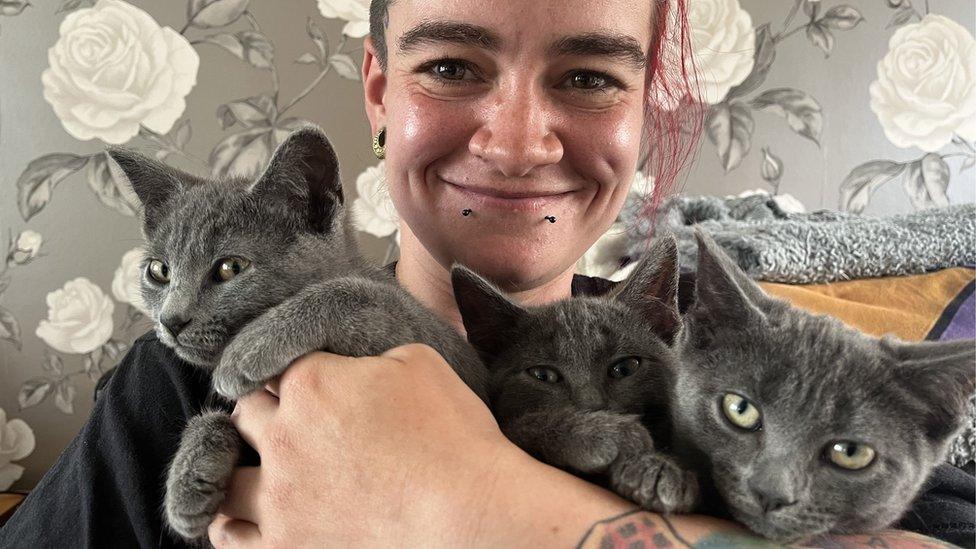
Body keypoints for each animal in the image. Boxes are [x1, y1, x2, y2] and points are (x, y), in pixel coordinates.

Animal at [109, 125, 488, 540]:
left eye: (230, 267)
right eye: (159, 271)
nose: (171, 320)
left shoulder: (461, 361)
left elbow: (360, 293)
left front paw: (249, 349)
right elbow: (219, 417)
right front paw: (188, 479)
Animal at [454, 238, 696, 512]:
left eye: (625, 368)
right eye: (542, 375)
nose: (592, 407)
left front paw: (660, 470)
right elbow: (524, 425)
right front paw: (604, 434)